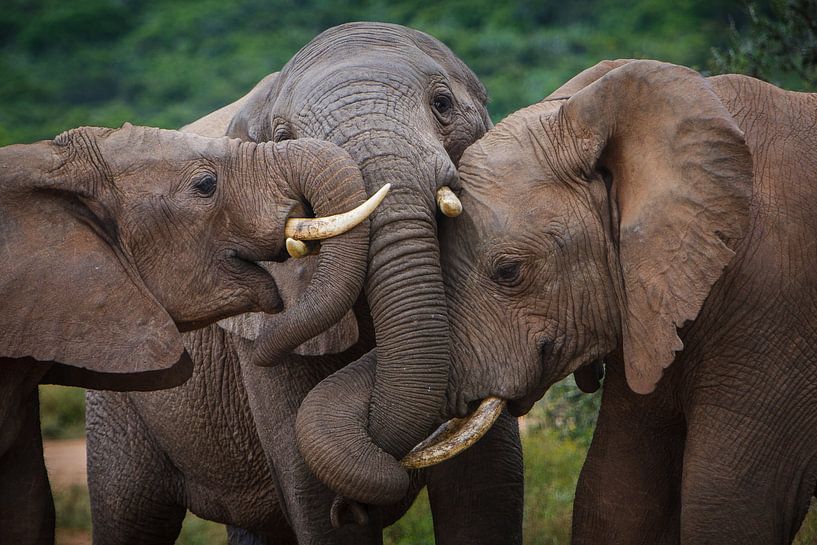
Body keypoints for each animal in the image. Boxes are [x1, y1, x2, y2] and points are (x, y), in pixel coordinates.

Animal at [86, 22, 523, 545]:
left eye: (442, 104)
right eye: (283, 138)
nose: (351, 508)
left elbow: (486, 485)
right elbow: (314, 494)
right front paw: (340, 513)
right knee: (129, 513)